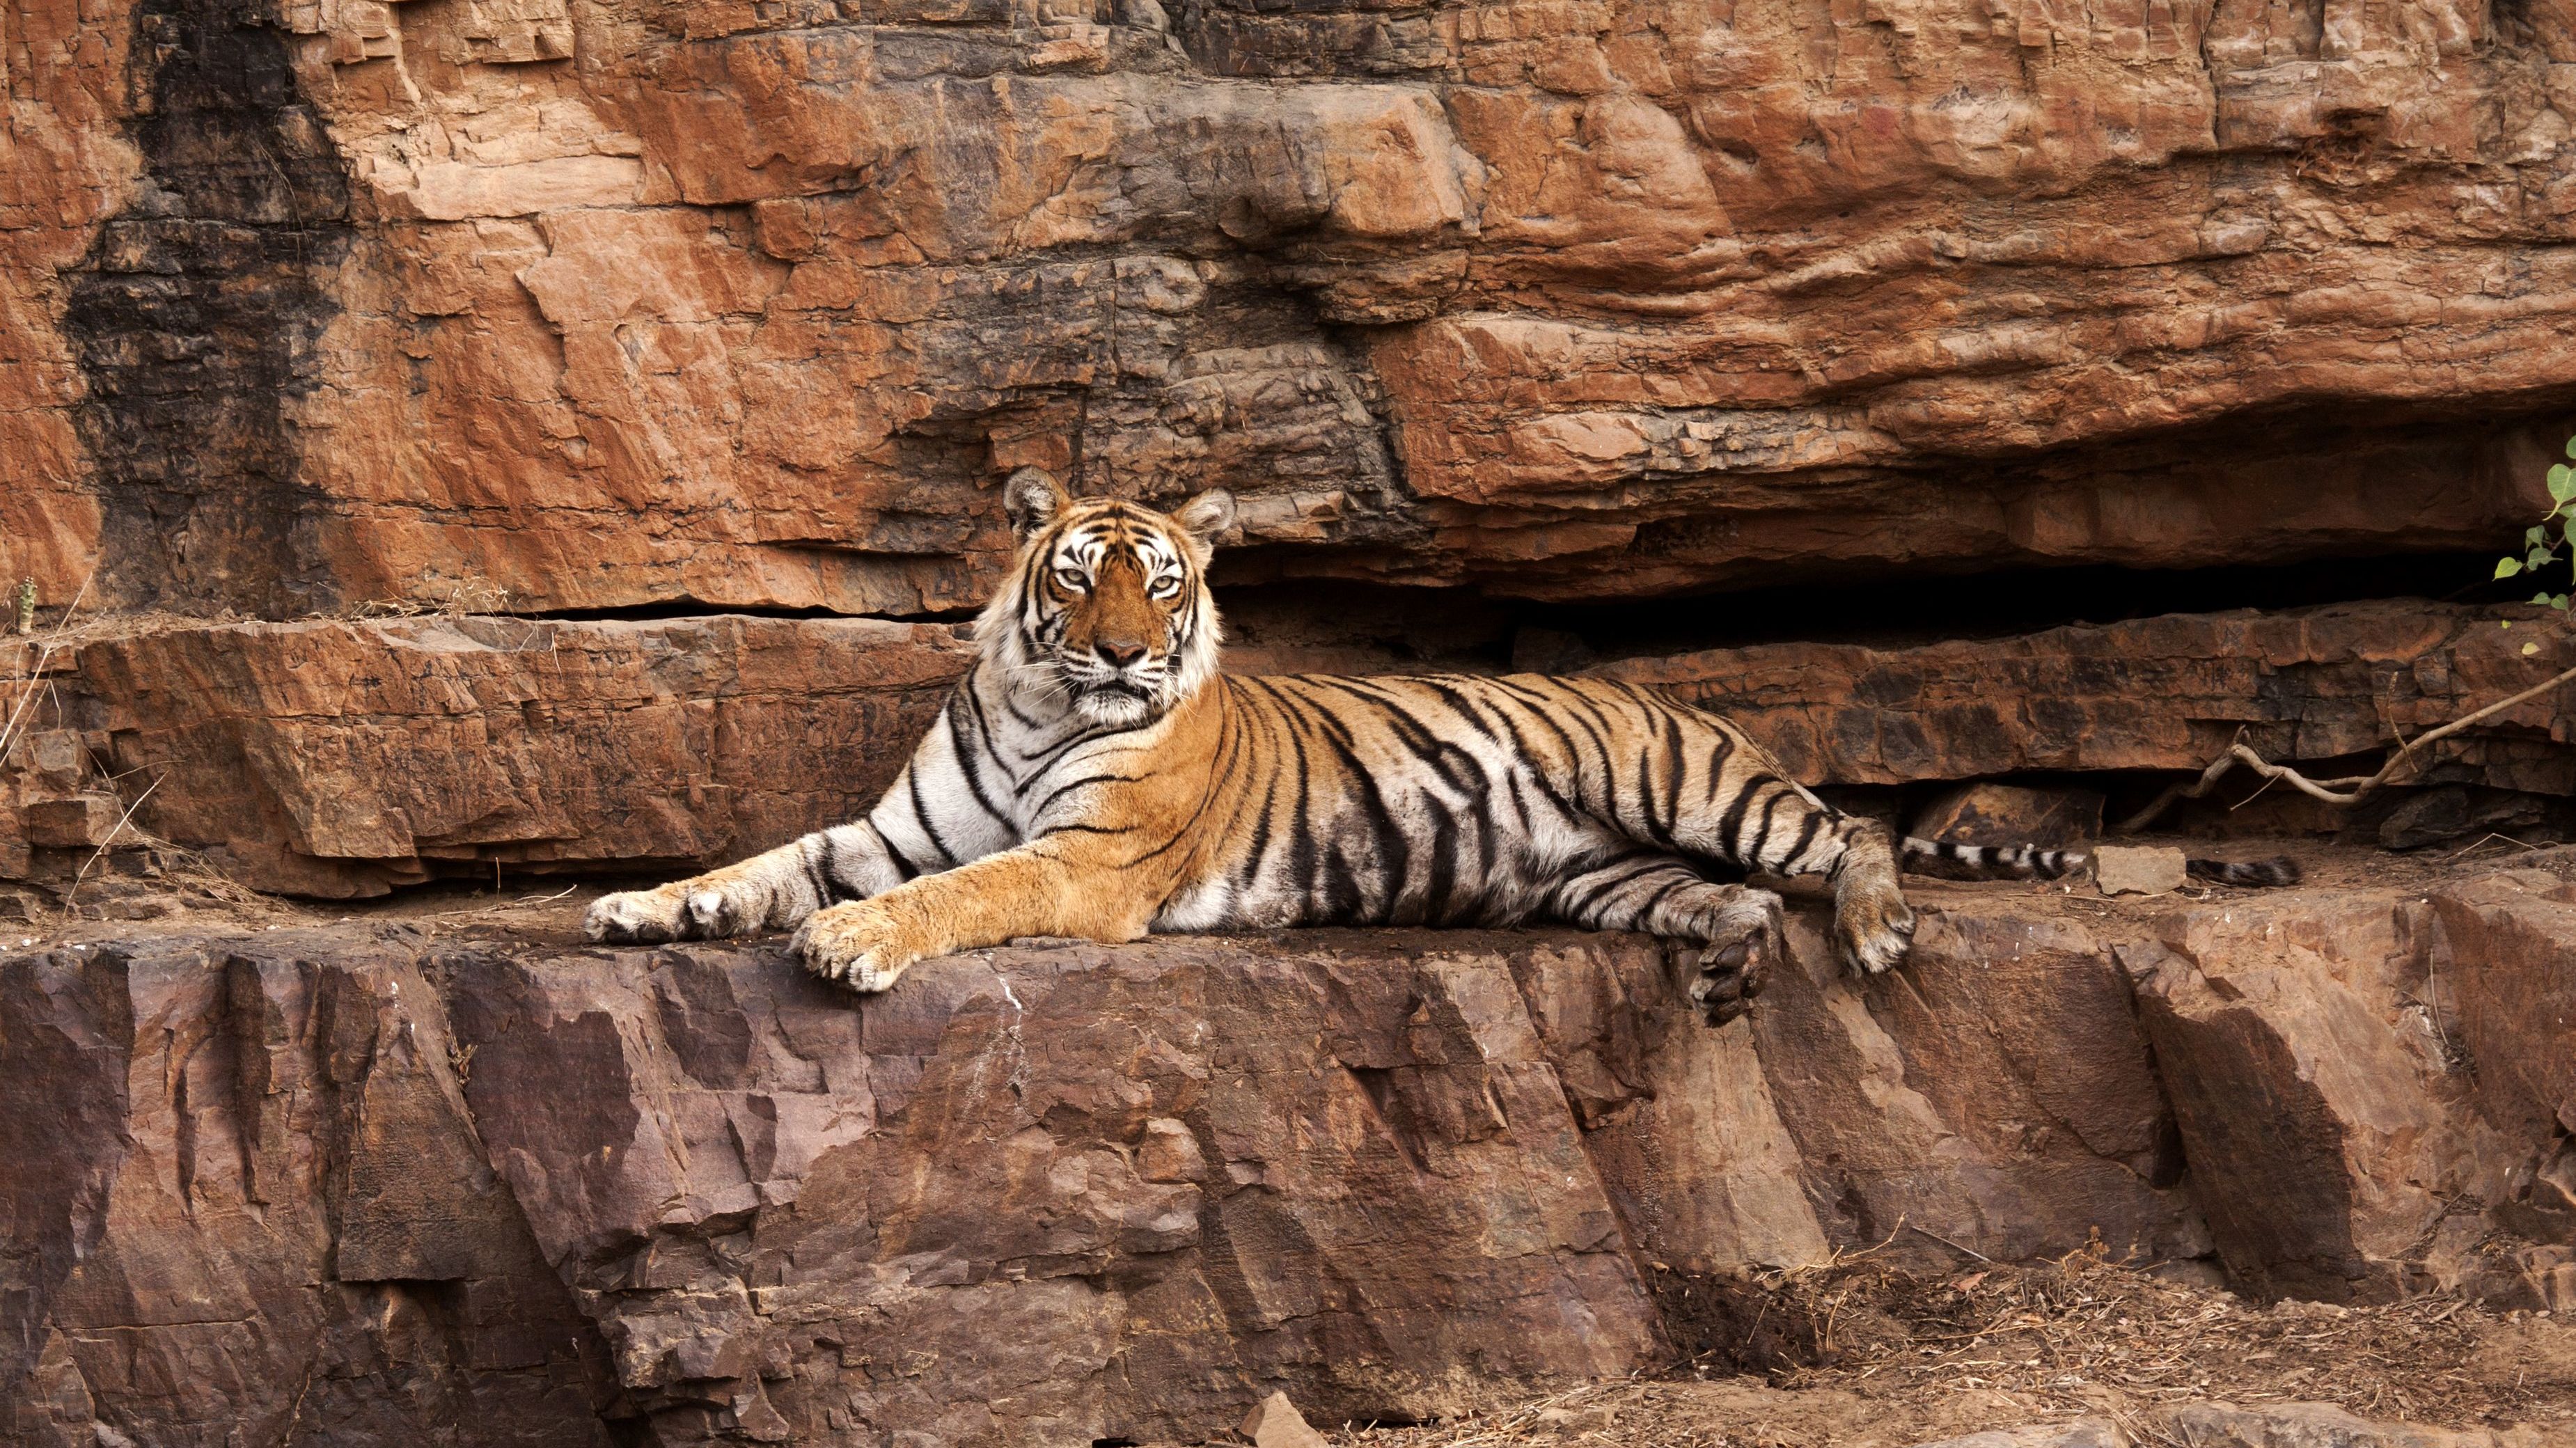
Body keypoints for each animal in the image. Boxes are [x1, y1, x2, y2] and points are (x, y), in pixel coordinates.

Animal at [584, 469, 2292, 1025]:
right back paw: (1728, 969)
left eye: (1166, 580)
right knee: (1730, 901)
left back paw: (1870, 931)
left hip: (1683, 784)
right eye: (1079, 577)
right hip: (1603, 876)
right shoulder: (893, 825)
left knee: (1845, 837)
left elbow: (952, 898)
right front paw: (643, 907)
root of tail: (1663, 694)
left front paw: (848, 947)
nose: (1129, 653)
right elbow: (770, 859)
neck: (1034, 698)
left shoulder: (1081, 863)